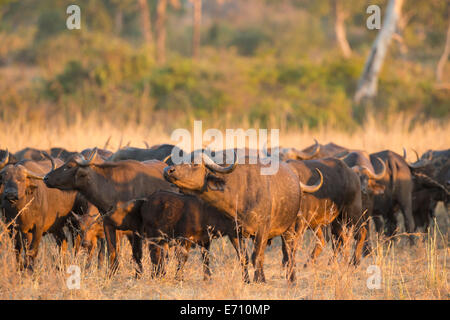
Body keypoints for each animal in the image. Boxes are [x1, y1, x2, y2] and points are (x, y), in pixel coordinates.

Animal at [43, 149, 178, 276]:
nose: (46, 178)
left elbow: (137, 253)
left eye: (70, 166)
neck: (114, 190)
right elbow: (112, 252)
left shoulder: (136, 228)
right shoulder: (108, 225)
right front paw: (110, 274)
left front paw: (138, 275)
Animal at [163, 151, 322, 282]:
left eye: (195, 164)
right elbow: (244, 258)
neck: (240, 195)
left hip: (289, 228)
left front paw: (258, 280)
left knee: (290, 253)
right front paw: (247, 280)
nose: (168, 170)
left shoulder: (262, 230)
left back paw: (291, 279)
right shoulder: (234, 233)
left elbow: (256, 256)